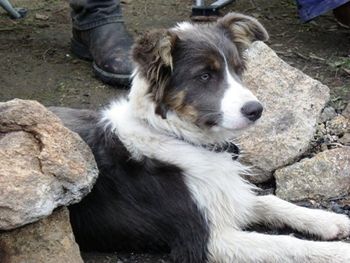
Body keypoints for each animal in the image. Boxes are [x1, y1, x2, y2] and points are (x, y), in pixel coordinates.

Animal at [50, 12, 350, 263]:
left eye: (237, 69)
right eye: (205, 75)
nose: (256, 110)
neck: (180, 137)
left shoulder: (224, 197)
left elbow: (270, 201)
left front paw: (329, 220)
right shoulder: (205, 241)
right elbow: (285, 244)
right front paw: (338, 252)